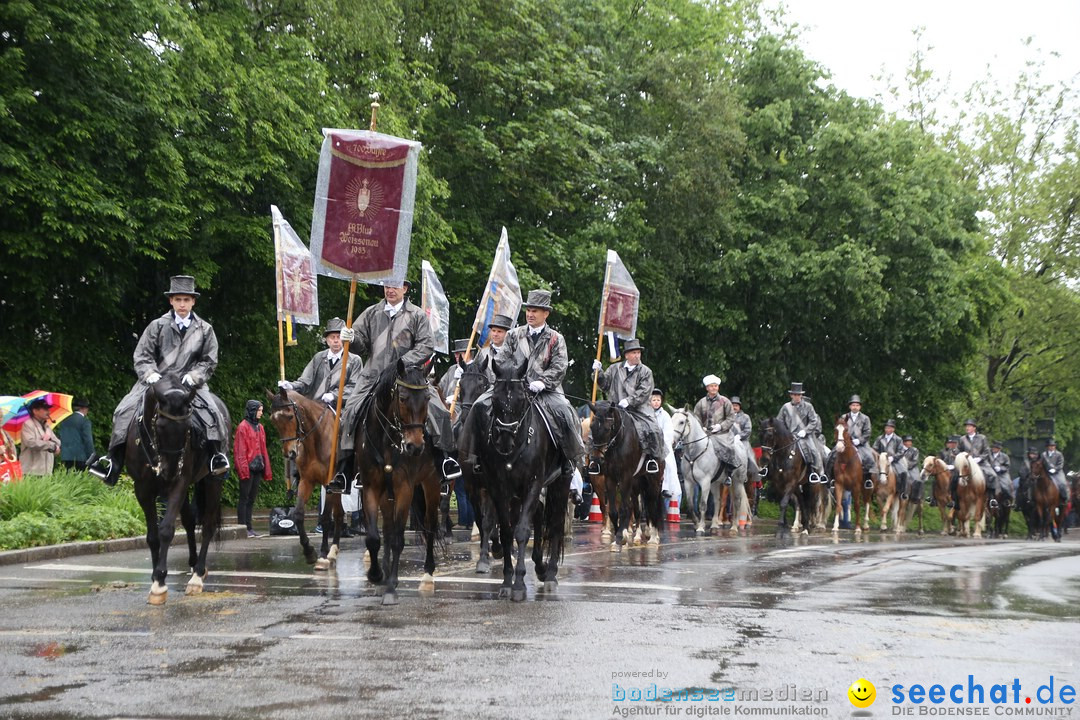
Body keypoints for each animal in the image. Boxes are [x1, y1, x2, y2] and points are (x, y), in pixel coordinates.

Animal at [125, 375, 226, 604]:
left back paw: (198, 575)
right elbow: (152, 536)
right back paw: (193, 563)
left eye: (188, 427)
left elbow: (166, 530)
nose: (169, 471)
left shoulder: (179, 484)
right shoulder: (142, 490)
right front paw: (155, 577)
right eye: (160, 426)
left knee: (207, 526)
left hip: (212, 481)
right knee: (189, 520)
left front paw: (160, 583)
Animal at [265, 390, 345, 569]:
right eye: (273, 420)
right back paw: (334, 551)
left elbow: (325, 518)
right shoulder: (307, 481)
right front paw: (309, 551)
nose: (290, 453)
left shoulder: (329, 482)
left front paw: (322, 555)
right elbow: (299, 515)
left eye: (289, 416)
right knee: (339, 515)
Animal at [479, 360, 565, 604]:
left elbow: (522, 531)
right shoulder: (499, 489)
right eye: (495, 399)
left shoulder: (533, 485)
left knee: (556, 524)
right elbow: (507, 532)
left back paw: (551, 574)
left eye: (520, 398)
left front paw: (519, 585)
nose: (505, 438)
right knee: (539, 515)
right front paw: (507, 582)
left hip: (561, 482)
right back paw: (540, 567)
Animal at [587, 403, 660, 548]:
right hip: (637, 485)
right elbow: (613, 511)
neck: (617, 443)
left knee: (653, 506)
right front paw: (617, 538)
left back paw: (654, 538)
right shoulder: (610, 479)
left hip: (654, 482)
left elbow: (624, 509)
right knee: (639, 508)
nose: (597, 459)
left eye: (607, 428)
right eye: (592, 427)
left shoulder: (625, 478)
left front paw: (621, 536)